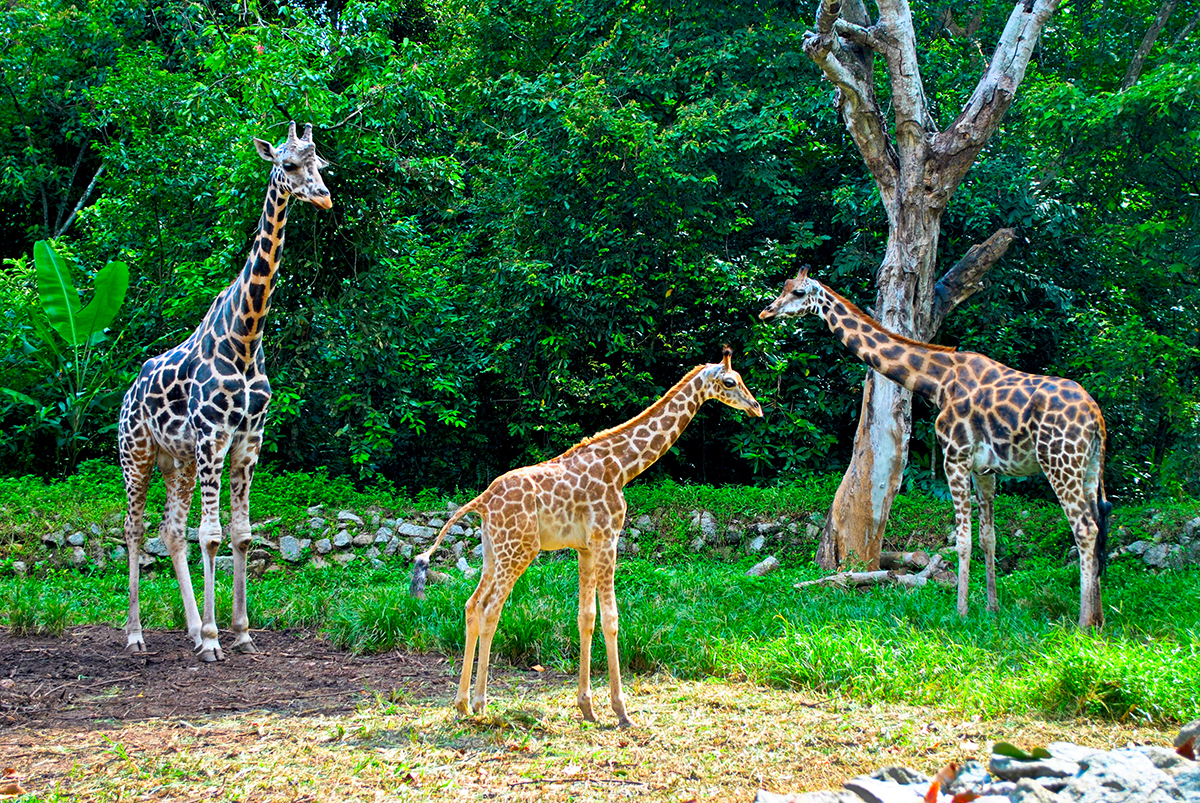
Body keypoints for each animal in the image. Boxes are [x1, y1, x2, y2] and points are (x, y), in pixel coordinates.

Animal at [118, 122, 332, 661]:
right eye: (289, 164)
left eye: (321, 163)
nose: (323, 198)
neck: (246, 336)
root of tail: (127, 393)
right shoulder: (214, 436)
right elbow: (211, 536)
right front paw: (217, 639)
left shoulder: (248, 442)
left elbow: (240, 536)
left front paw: (239, 631)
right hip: (137, 455)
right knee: (134, 529)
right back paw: (136, 635)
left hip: (177, 461)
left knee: (171, 532)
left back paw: (193, 629)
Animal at [410, 348, 763, 726]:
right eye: (730, 382)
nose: (756, 406)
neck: (622, 468)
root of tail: (482, 500)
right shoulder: (607, 539)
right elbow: (611, 619)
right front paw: (621, 710)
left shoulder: (585, 548)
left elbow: (585, 617)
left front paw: (587, 707)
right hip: (519, 550)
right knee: (491, 608)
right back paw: (480, 703)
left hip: (493, 551)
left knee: (472, 605)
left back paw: (461, 703)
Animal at [759, 267, 1111, 629]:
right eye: (785, 287)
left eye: (799, 293)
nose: (766, 312)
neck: (939, 381)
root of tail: (1095, 417)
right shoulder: (985, 469)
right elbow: (988, 537)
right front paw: (992, 610)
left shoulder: (954, 456)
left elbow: (963, 539)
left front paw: (961, 612)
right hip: (1089, 468)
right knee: (1098, 527)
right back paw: (1097, 617)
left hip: (1059, 461)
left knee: (1084, 529)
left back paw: (1083, 624)